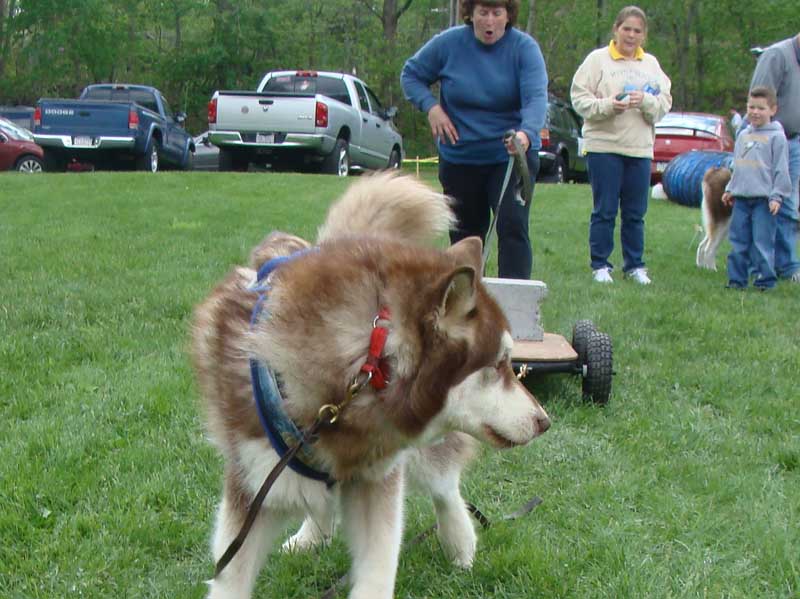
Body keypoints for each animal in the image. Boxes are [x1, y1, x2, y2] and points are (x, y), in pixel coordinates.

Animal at [192, 171, 552, 599]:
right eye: (498, 364)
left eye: (509, 362)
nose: (544, 421)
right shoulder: (253, 485)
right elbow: (231, 577)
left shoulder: (380, 475)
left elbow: (378, 567)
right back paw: (311, 536)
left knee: (445, 485)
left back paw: (460, 543)